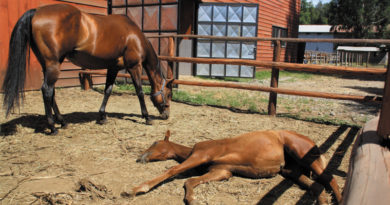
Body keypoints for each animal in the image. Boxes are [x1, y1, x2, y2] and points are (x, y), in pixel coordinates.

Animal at [1, 4, 172, 135]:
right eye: (169, 94)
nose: (167, 115)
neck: (134, 36)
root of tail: (36, 12)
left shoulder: (113, 68)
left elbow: (108, 91)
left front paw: (102, 116)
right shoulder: (134, 67)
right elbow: (140, 92)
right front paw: (147, 117)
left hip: (48, 65)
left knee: (51, 92)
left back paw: (62, 122)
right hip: (53, 65)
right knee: (47, 90)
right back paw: (53, 127)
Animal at [125, 131, 342, 204]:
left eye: (154, 143)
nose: (139, 157)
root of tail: (312, 142)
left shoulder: (201, 155)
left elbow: (172, 171)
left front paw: (136, 189)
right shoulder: (221, 171)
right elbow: (191, 181)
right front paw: (191, 199)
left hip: (302, 154)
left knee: (330, 179)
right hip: (291, 170)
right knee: (316, 186)